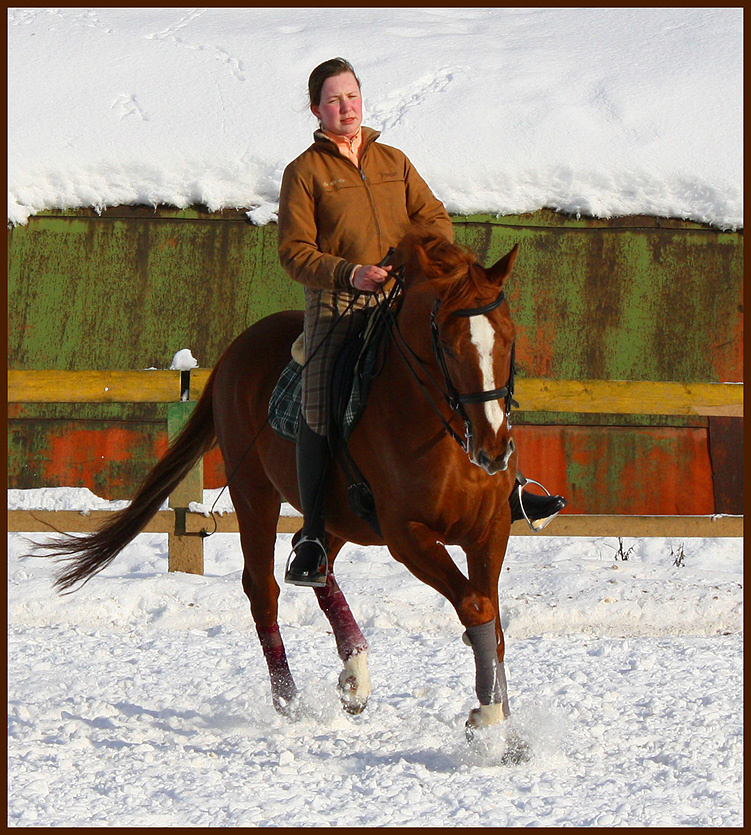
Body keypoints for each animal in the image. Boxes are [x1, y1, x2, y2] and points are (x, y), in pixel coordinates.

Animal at [44, 232, 523, 742]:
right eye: (448, 346)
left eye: (509, 338)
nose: (494, 449)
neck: (441, 430)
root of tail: (237, 348)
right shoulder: (407, 536)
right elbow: (475, 606)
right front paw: (488, 720)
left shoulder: (490, 530)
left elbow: (493, 623)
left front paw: (506, 731)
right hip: (255, 494)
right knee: (263, 588)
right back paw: (290, 698)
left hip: (334, 515)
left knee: (318, 567)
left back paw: (355, 674)